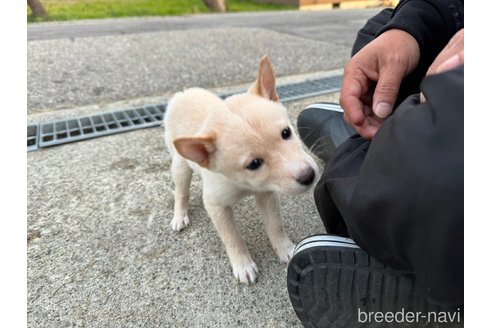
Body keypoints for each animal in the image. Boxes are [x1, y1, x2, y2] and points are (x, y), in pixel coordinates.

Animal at [164, 55, 320, 284]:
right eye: (254, 164)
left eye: (286, 132)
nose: (309, 176)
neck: (243, 183)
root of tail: (183, 93)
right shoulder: (216, 205)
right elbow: (232, 238)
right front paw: (243, 264)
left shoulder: (267, 195)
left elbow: (275, 224)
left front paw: (285, 248)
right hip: (180, 165)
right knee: (181, 192)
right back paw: (179, 216)